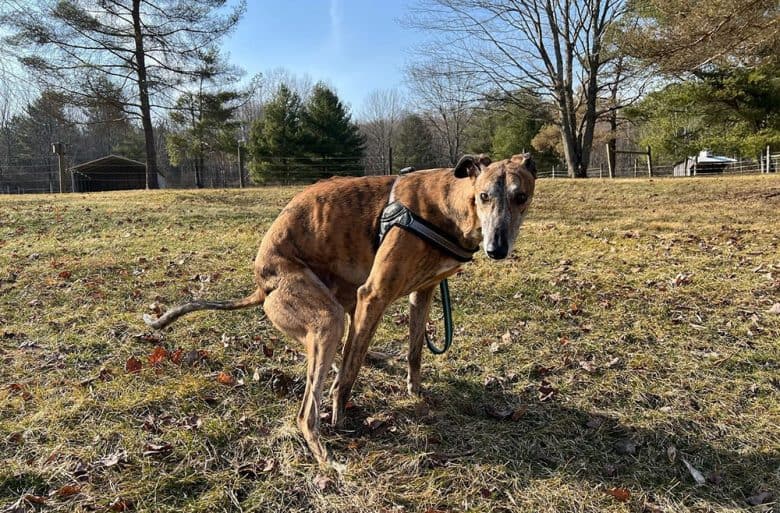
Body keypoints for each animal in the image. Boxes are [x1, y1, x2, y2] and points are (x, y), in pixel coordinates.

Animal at [145, 153, 536, 468]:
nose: (496, 249)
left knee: (343, 350)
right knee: (309, 408)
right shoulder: (373, 295)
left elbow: (413, 351)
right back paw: (324, 452)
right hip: (328, 316)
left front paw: (414, 391)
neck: (450, 204)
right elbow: (349, 375)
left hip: (344, 301)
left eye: (522, 197)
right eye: (484, 196)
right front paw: (340, 417)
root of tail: (262, 284)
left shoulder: (422, 292)